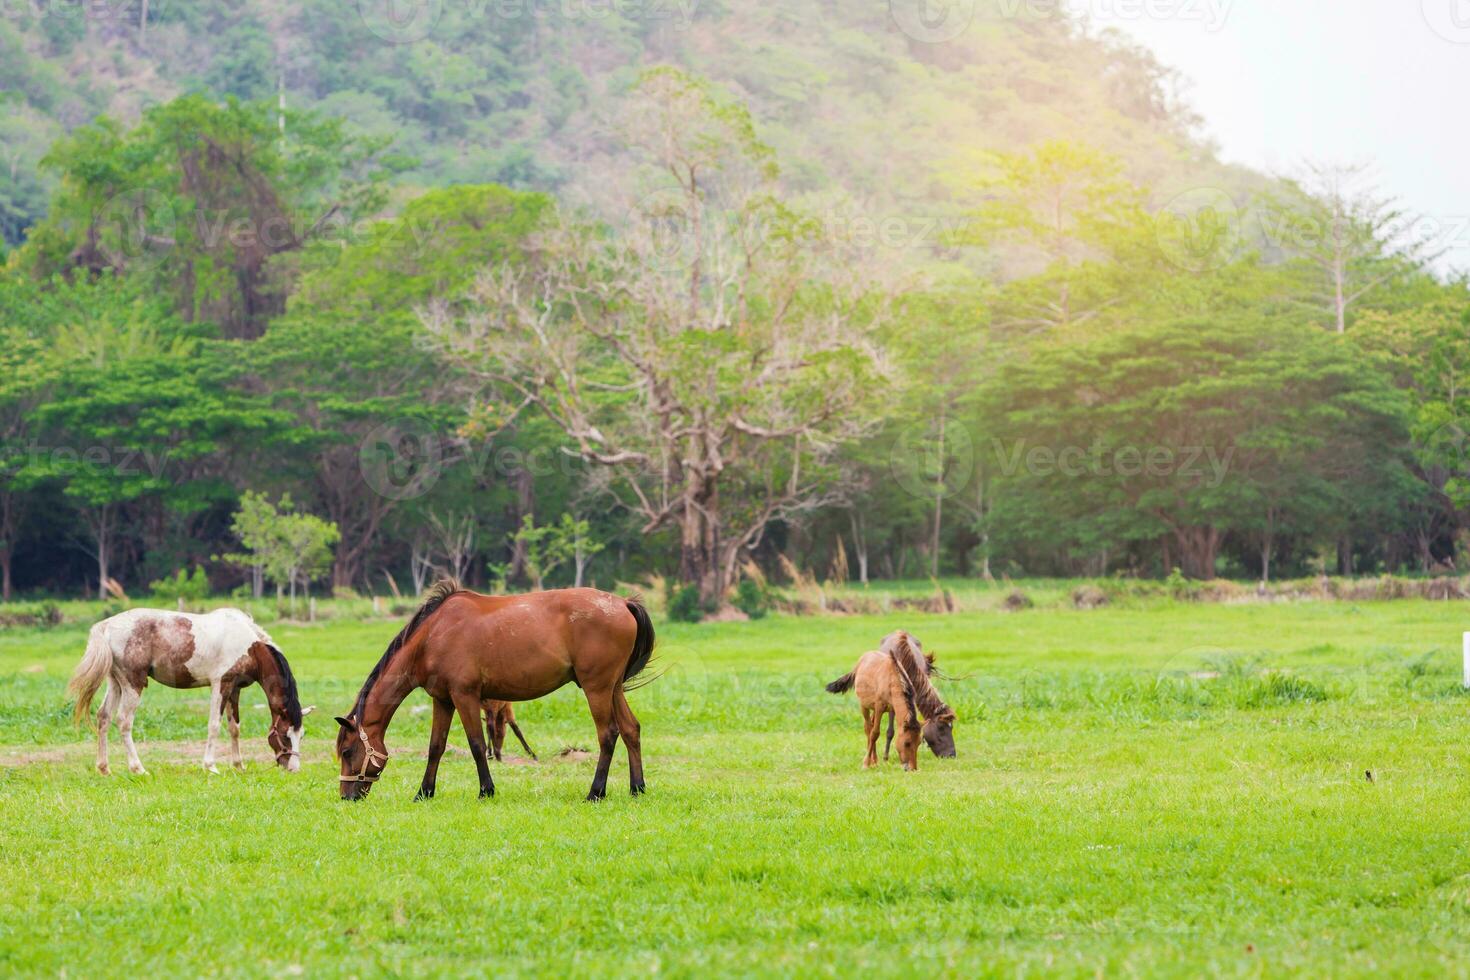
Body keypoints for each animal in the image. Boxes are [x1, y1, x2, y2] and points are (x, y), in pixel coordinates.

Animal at [70, 605, 311, 775]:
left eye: (301, 735)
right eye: (285, 735)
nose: (294, 768)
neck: (250, 647)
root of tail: (106, 626)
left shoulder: (234, 689)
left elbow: (234, 728)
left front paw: (239, 765)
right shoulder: (221, 684)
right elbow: (214, 725)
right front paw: (210, 766)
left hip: (116, 683)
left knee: (104, 717)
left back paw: (104, 768)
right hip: (133, 684)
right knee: (123, 721)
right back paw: (138, 768)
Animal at [336, 578, 658, 799]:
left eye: (348, 751)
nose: (347, 796)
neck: (432, 637)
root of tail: (623, 603)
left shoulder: (465, 696)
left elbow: (477, 744)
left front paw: (486, 790)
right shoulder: (443, 700)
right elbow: (436, 747)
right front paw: (424, 792)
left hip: (597, 688)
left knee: (608, 734)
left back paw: (596, 792)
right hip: (613, 688)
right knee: (631, 729)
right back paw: (637, 787)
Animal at [823, 628, 958, 775]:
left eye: (918, 743)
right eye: (941, 728)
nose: (951, 755)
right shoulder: (880, 706)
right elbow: (878, 732)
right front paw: (871, 762)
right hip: (865, 705)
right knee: (868, 728)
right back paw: (873, 759)